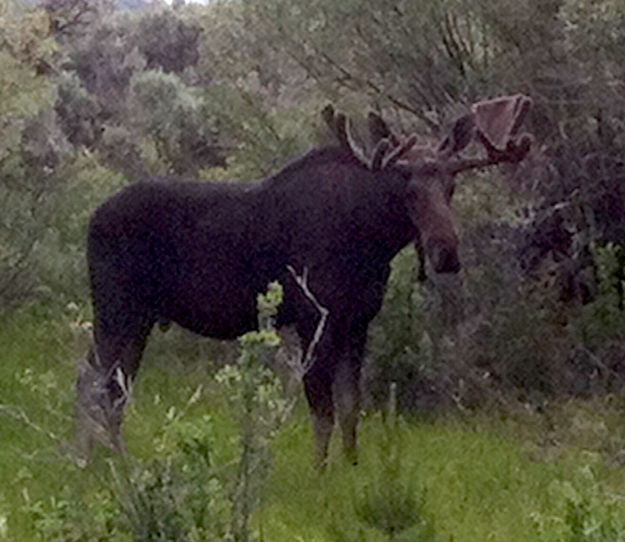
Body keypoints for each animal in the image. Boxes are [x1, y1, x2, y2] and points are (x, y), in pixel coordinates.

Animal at [74, 94, 532, 468]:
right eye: (408, 188)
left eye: (452, 184)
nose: (446, 253)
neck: (373, 243)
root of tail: (91, 219)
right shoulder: (314, 318)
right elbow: (321, 409)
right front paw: (320, 472)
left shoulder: (358, 321)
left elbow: (349, 405)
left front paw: (351, 466)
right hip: (116, 307)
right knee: (95, 383)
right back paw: (97, 462)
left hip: (139, 317)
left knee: (108, 385)